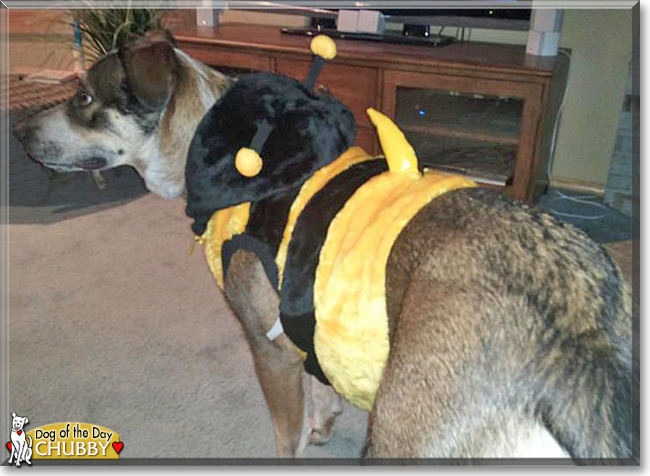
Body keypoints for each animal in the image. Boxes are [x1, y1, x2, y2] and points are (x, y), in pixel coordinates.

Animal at [13, 37, 632, 464]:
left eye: (83, 96)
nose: (17, 133)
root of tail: (581, 341)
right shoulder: (307, 319)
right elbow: (323, 382)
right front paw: (326, 419)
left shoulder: (270, 352)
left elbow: (286, 435)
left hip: (401, 436)